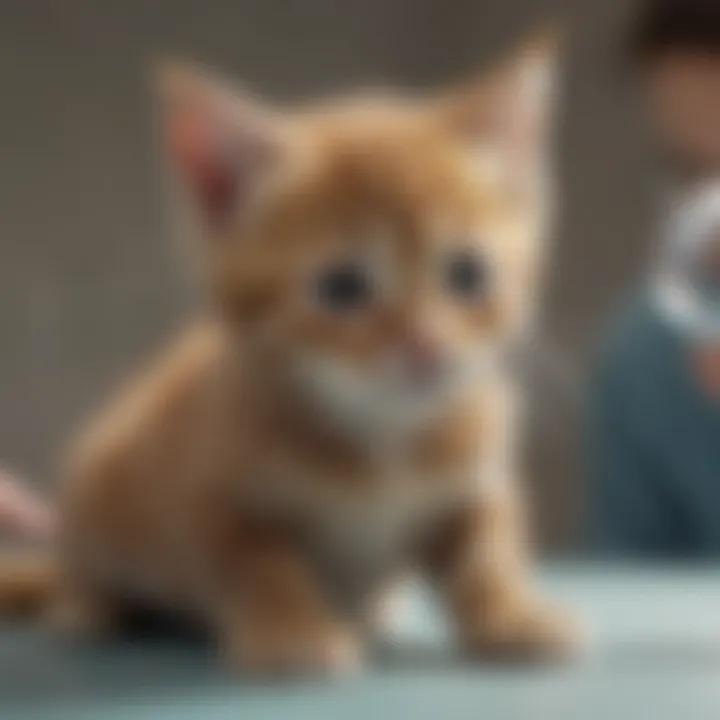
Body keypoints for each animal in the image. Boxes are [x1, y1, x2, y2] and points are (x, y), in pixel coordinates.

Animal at [1, 32, 580, 676]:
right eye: (342, 287)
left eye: (468, 274)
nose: (426, 344)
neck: (380, 437)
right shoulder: (212, 497)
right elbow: (262, 568)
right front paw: (293, 631)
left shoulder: (475, 472)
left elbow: (486, 549)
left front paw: (511, 613)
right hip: (94, 485)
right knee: (82, 572)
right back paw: (88, 609)